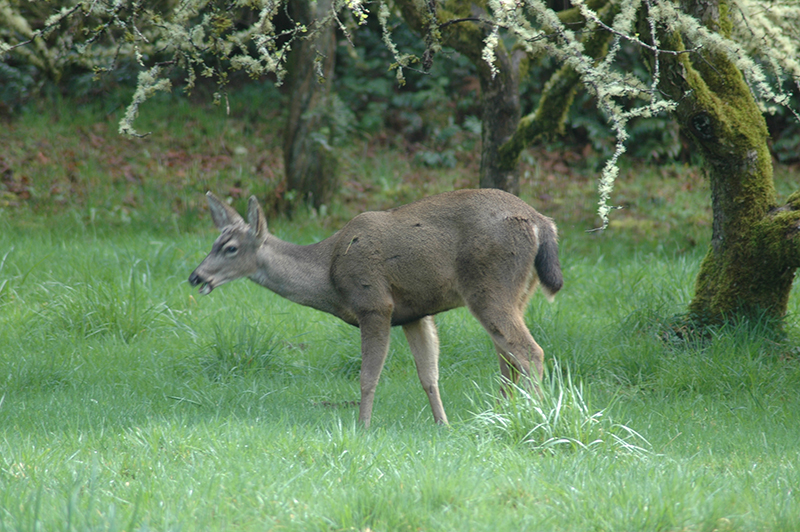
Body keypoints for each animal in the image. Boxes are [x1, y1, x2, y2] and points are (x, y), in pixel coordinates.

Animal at [188, 191, 564, 428]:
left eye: (231, 247)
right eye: (213, 243)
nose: (195, 276)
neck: (329, 275)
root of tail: (541, 222)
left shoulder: (374, 304)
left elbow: (368, 376)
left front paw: (363, 426)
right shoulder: (415, 314)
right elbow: (429, 375)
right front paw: (442, 425)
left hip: (490, 287)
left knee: (530, 352)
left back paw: (535, 415)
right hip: (519, 294)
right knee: (509, 358)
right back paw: (499, 415)